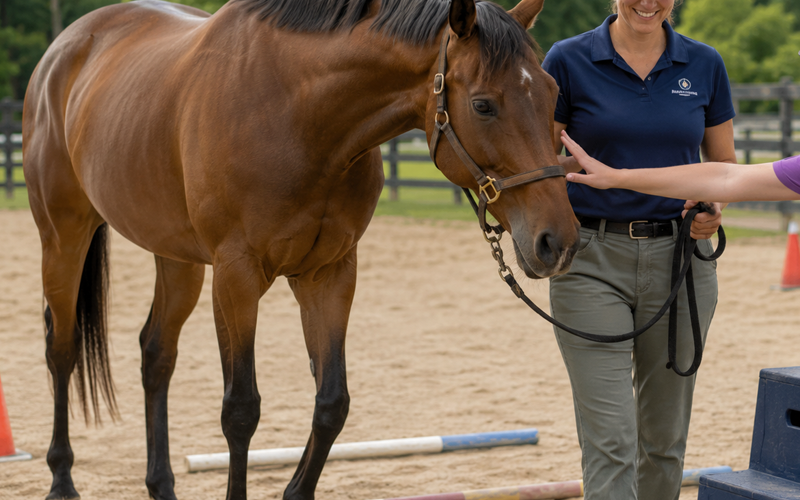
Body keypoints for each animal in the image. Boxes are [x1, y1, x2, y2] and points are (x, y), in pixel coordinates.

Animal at [22, 0, 579, 498]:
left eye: (553, 93)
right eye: (483, 104)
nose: (558, 241)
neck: (296, 114)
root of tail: (63, 50)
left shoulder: (328, 273)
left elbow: (331, 403)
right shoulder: (237, 275)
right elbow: (240, 410)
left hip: (176, 258)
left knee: (156, 353)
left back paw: (161, 485)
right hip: (63, 237)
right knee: (61, 348)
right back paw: (61, 480)